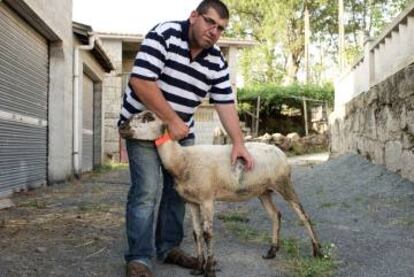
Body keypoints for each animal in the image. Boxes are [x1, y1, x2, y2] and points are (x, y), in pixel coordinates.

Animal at [129, 110, 324, 276]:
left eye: (148, 117)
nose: (123, 126)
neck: (182, 160)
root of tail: (280, 151)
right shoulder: (192, 202)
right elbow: (196, 233)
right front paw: (198, 268)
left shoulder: (207, 199)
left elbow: (207, 234)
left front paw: (209, 270)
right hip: (263, 191)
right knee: (276, 215)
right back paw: (272, 251)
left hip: (283, 183)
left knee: (303, 215)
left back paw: (318, 252)